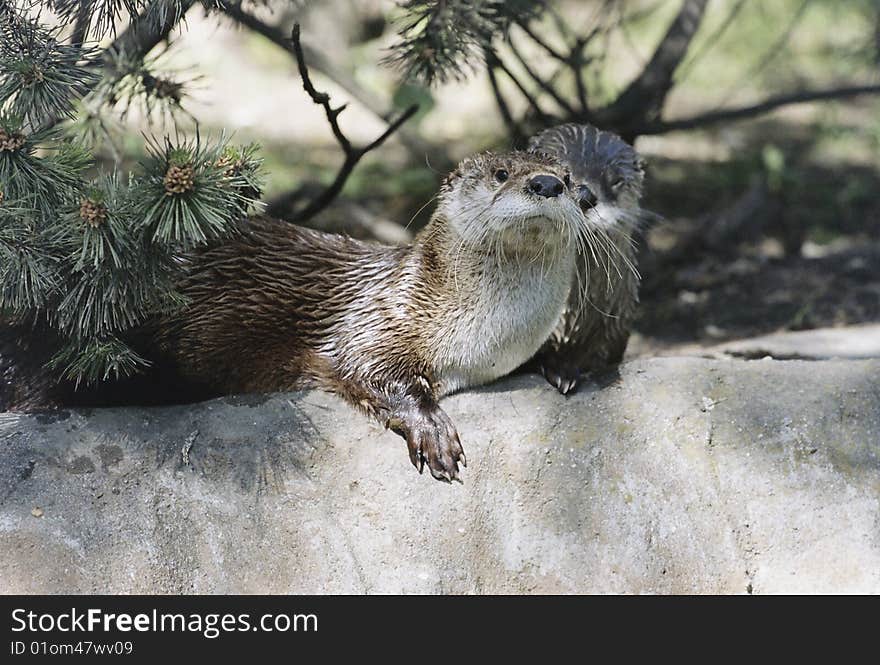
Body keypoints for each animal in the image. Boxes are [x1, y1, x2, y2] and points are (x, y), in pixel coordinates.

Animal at [1, 122, 648, 480]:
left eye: (568, 177)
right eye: (501, 172)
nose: (550, 184)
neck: (479, 337)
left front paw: (564, 366)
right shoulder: (372, 321)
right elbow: (367, 369)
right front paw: (432, 429)